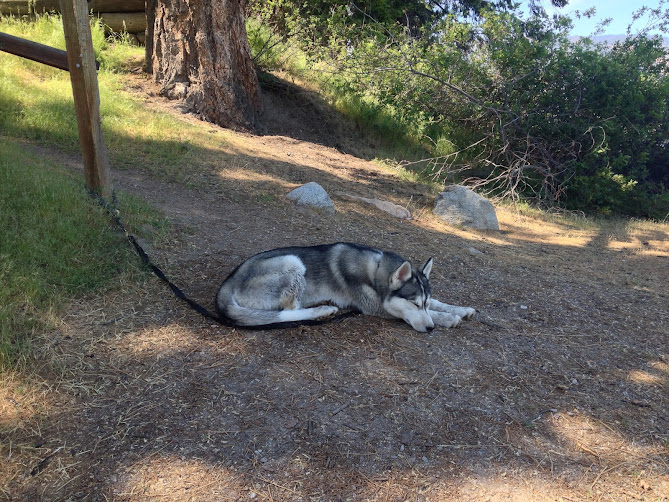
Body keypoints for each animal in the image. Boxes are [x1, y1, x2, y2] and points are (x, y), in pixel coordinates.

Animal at [215, 242, 474, 332]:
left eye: (424, 303)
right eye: (414, 304)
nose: (430, 329)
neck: (376, 270)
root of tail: (227, 283)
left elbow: (439, 303)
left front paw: (461, 310)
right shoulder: (377, 308)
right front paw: (448, 319)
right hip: (293, 262)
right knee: (289, 312)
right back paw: (322, 311)